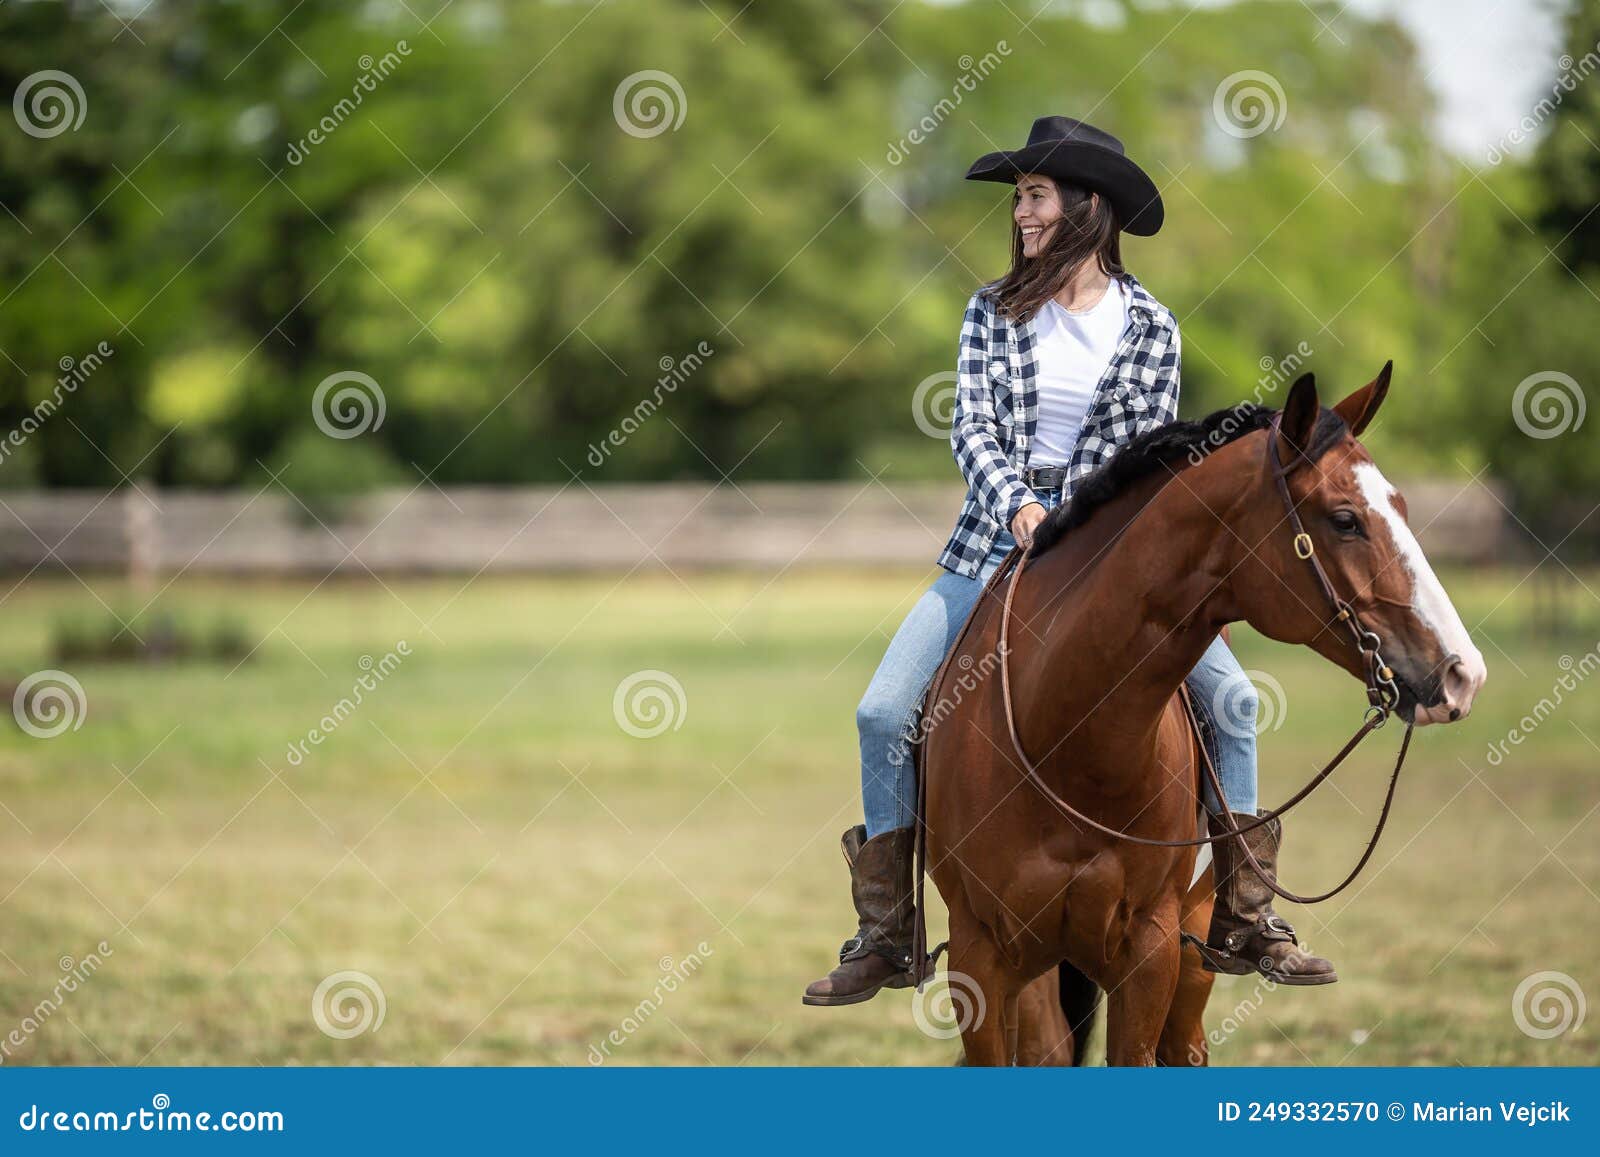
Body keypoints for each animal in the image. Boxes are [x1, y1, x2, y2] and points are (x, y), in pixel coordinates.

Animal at [921, 368, 1491, 1068]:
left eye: (1400, 508)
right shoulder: (980, 961)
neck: (1065, 742)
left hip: (1190, 967)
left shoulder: (1152, 954)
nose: (1462, 673)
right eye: (1346, 520)